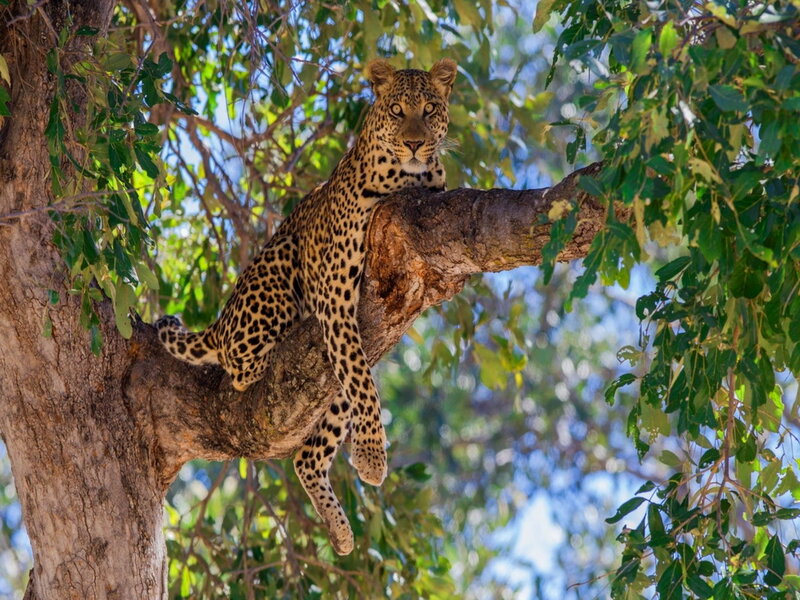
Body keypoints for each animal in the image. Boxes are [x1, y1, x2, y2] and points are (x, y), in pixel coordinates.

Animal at [155, 58, 457, 555]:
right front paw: (371, 458)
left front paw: (367, 458)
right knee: (241, 369)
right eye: (397, 110)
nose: (415, 143)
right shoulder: (335, 297)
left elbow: (360, 381)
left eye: (430, 109)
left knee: (308, 454)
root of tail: (220, 320)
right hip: (276, 277)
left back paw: (339, 531)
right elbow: (365, 386)